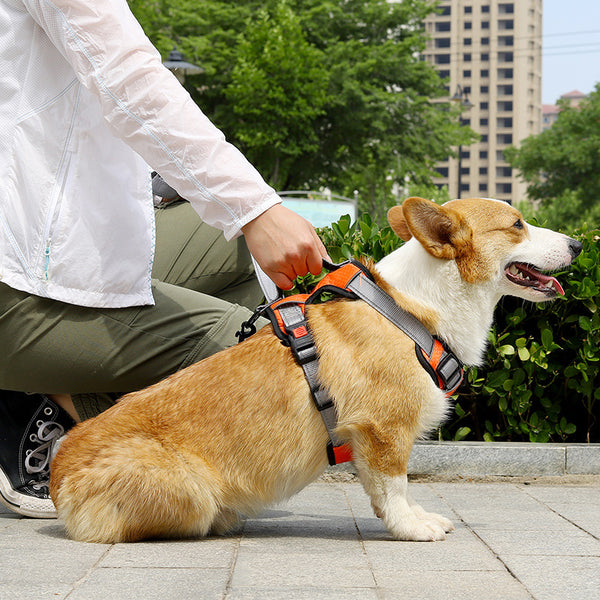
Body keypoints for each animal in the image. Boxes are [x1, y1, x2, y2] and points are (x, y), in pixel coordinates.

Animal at [49, 198, 584, 544]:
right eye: (518, 224)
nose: (579, 243)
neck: (415, 310)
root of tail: (57, 475)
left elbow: (389, 490)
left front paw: (416, 516)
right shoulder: (383, 431)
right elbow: (394, 487)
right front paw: (411, 529)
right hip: (193, 492)